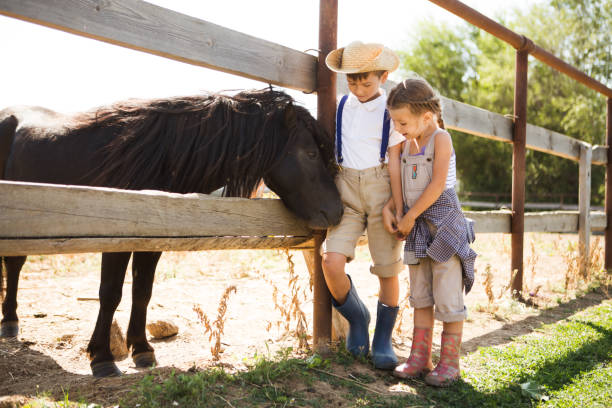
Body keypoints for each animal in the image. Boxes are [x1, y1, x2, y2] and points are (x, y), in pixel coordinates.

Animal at [0, 89, 344, 376]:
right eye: (311, 154)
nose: (337, 211)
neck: (153, 156)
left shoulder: (153, 239)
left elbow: (143, 292)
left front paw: (142, 350)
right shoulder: (116, 238)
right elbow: (110, 294)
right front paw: (102, 358)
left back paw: (10, 322)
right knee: (15, 264)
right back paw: (11, 322)